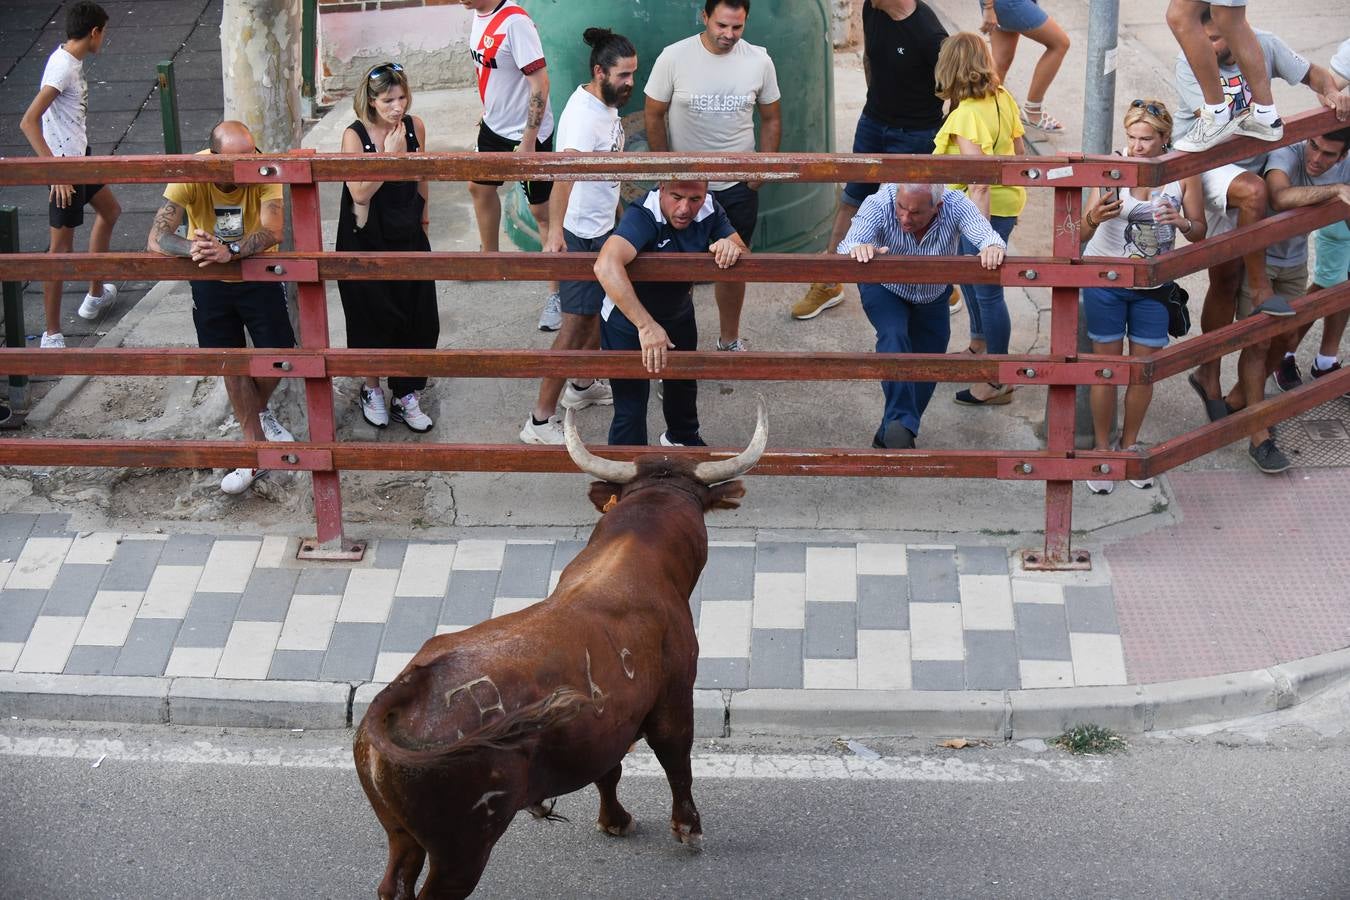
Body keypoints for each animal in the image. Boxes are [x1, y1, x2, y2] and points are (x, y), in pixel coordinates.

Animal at [353, 404, 766, 895]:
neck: (637, 554)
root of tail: (405, 691)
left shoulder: (607, 723)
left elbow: (609, 770)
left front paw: (614, 820)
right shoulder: (674, 700)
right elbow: (677, 763)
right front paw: (689, 829)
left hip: (400, 832)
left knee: (392, 882)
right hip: (462, 850)